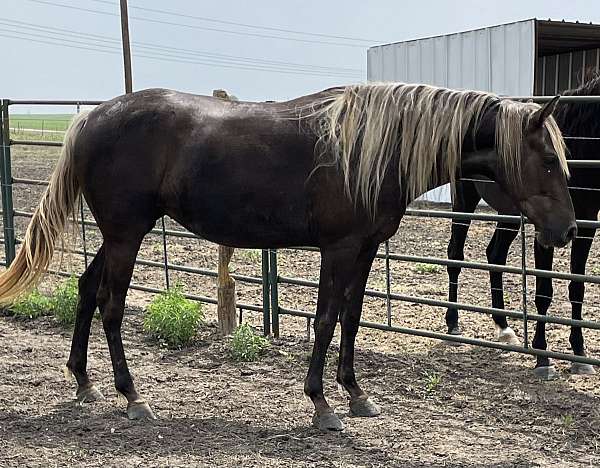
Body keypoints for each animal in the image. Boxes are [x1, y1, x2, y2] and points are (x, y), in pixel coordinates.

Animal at [0, 82, 576, 430]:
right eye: (549, 159)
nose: (568, 230)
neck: (369, 149)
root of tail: (92, 119)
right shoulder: (338, 249)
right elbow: (324, 320)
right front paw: (322, 405)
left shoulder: (365, 250)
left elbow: (351, 319)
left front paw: (355, 393)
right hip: (127, 235)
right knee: (111, 305)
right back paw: (132, 396)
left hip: (119, 234)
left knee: (86, 290)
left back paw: (84, 382)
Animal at [448, 73, 600, 380]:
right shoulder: (548, 232)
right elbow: (544, 291)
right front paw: (543, 358)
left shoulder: (584, 226)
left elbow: (577, 288)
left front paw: (580, 355)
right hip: (464, 202)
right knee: (455, 254)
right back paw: (453, 323)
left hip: (508, 214)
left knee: (494, 255)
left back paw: (504, 328)